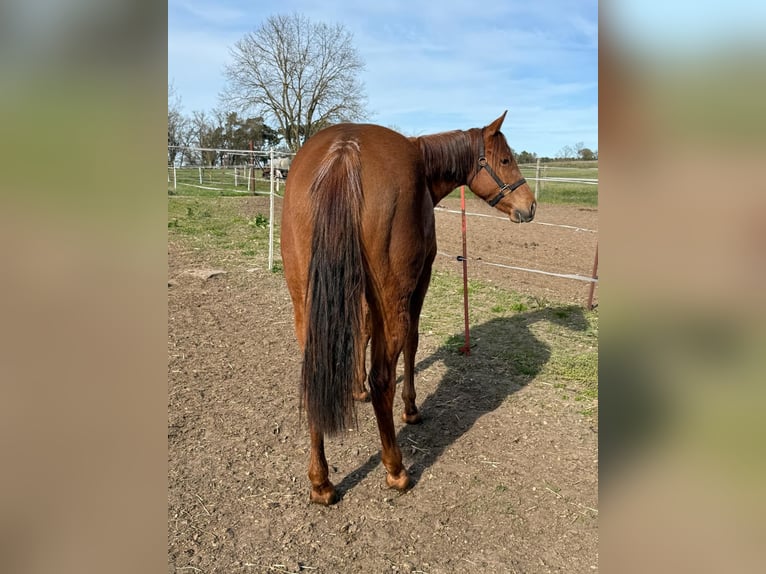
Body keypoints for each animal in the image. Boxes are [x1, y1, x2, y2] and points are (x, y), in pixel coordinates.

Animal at [280, 111, 536, 504]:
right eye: (506, 160)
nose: (530, 205)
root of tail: (344, 153)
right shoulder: (420, 281)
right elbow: (412, 344)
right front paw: (411, 409)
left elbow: (362, 330)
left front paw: (356, 389)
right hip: (394, 297)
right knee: (384, 376)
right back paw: (395, 469)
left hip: (305, 302)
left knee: (315, 374)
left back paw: (321, 482)